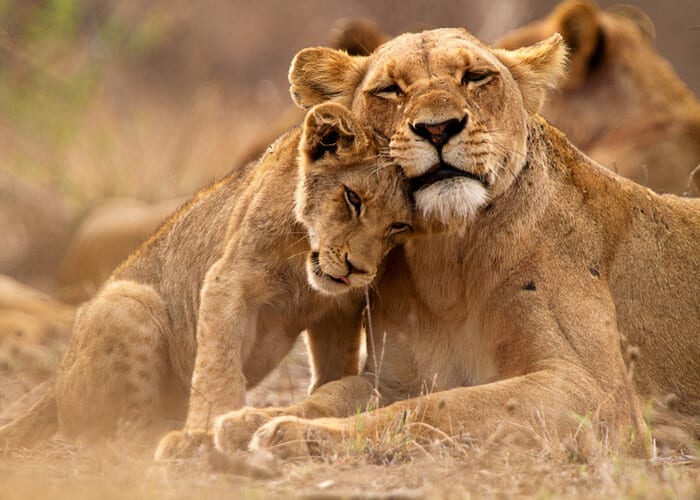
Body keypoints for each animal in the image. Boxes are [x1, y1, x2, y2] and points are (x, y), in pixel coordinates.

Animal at [0, 102, 413, 452]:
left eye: (399, 226)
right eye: (353, 199)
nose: (357, 269)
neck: (303, 261)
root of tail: (54, 384)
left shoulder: (338, 311)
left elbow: (335, 369)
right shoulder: (228, 280)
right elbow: (219, 365)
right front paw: (207, 428)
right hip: (129, 301)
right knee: (117, 435)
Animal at [208, 28, 699, 460]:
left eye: (476, 77)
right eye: (389, 89)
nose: (439, 128)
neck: (447, 261)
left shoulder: (597, 394)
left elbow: (439, 407)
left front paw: (298, 435)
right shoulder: (393, 378)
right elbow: (332, 393)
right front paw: (252, 420)